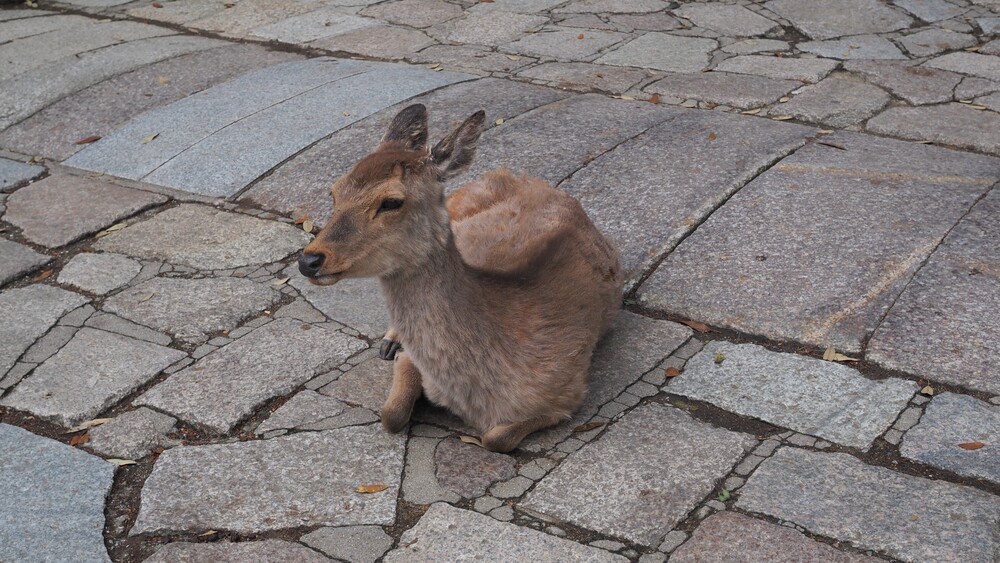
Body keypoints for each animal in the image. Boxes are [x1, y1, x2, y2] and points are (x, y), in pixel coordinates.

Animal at [298, 103, 624, 452]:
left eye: (391, 201)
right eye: (334, 192)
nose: (309, 259)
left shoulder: (569, 391)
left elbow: (496, 438)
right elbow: (391, 414)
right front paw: (395, 353)